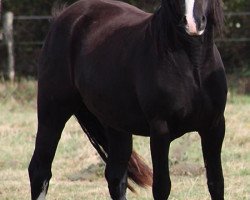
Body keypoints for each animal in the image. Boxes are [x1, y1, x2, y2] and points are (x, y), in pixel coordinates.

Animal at [28, 0, 227, 199]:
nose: (193, 24)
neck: (193, 67)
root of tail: (62, 17)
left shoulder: (214, 128)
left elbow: (216, 183)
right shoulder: (160, 130)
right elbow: (162, 187)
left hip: (116, 126)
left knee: (116, 177)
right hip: (52, 113)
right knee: (39, 170)